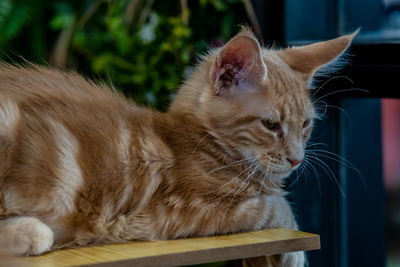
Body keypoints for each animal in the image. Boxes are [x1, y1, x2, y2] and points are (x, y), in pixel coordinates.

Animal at [0, 27, 356, 266]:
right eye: (271, 125)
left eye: (305, 125)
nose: (297, 159)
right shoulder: (182, 211)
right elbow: (277, 208)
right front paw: (293, 254)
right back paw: (32, 232)